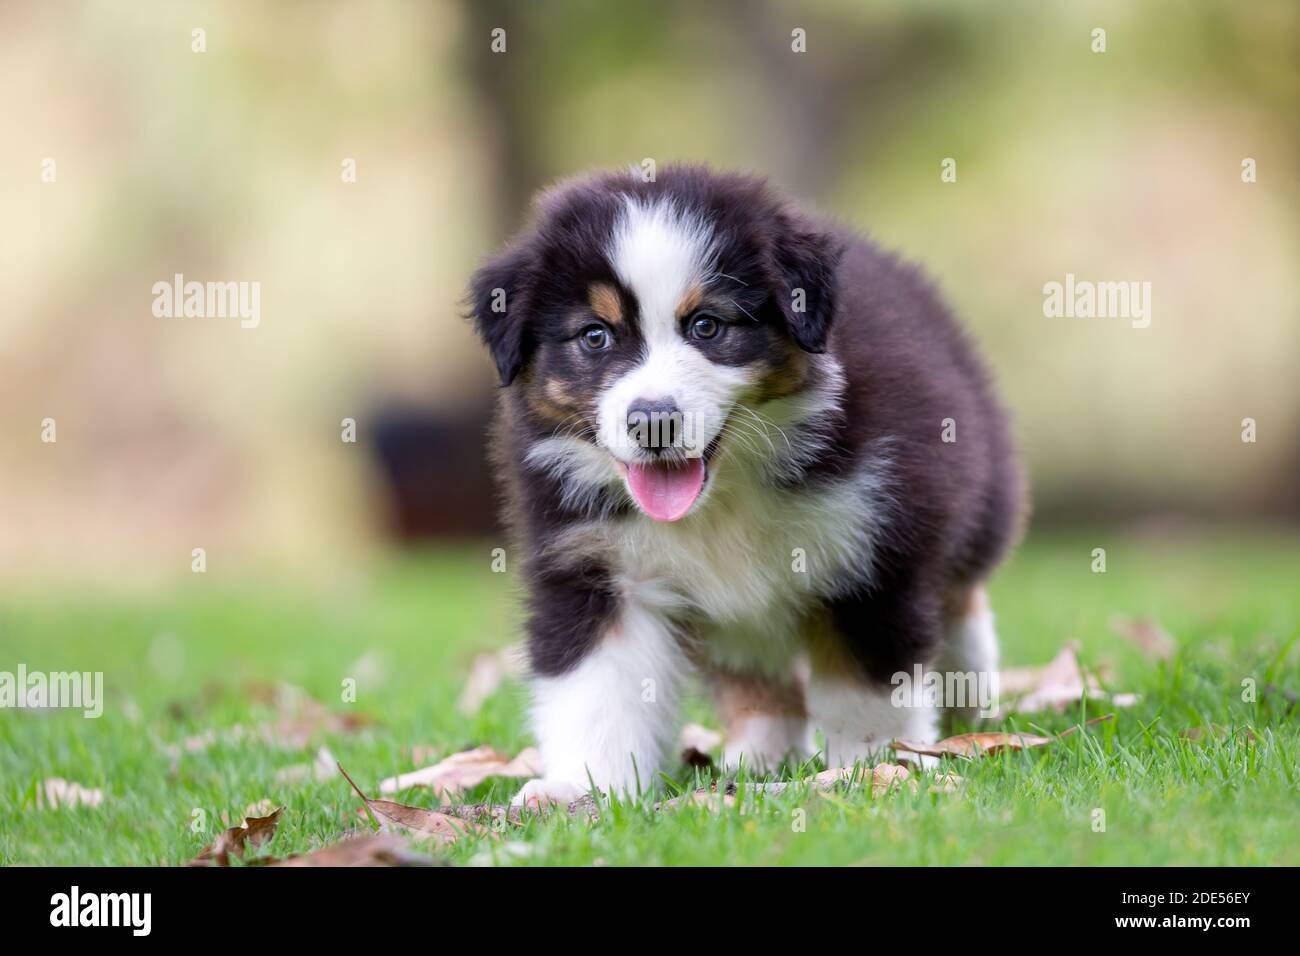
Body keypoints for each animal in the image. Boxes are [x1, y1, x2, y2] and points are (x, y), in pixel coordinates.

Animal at [467, 164, 1024, 806]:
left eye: (707, 325)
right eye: (595, 336)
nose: (652, 420)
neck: (722, 497)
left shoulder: (871, 548)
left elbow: (864, 686)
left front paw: (873, 768)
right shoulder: (592, 563)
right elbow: (599, 687)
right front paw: (582, 789)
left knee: (962, 593)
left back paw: (968, 692)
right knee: (754, 673)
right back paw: (760, 754)